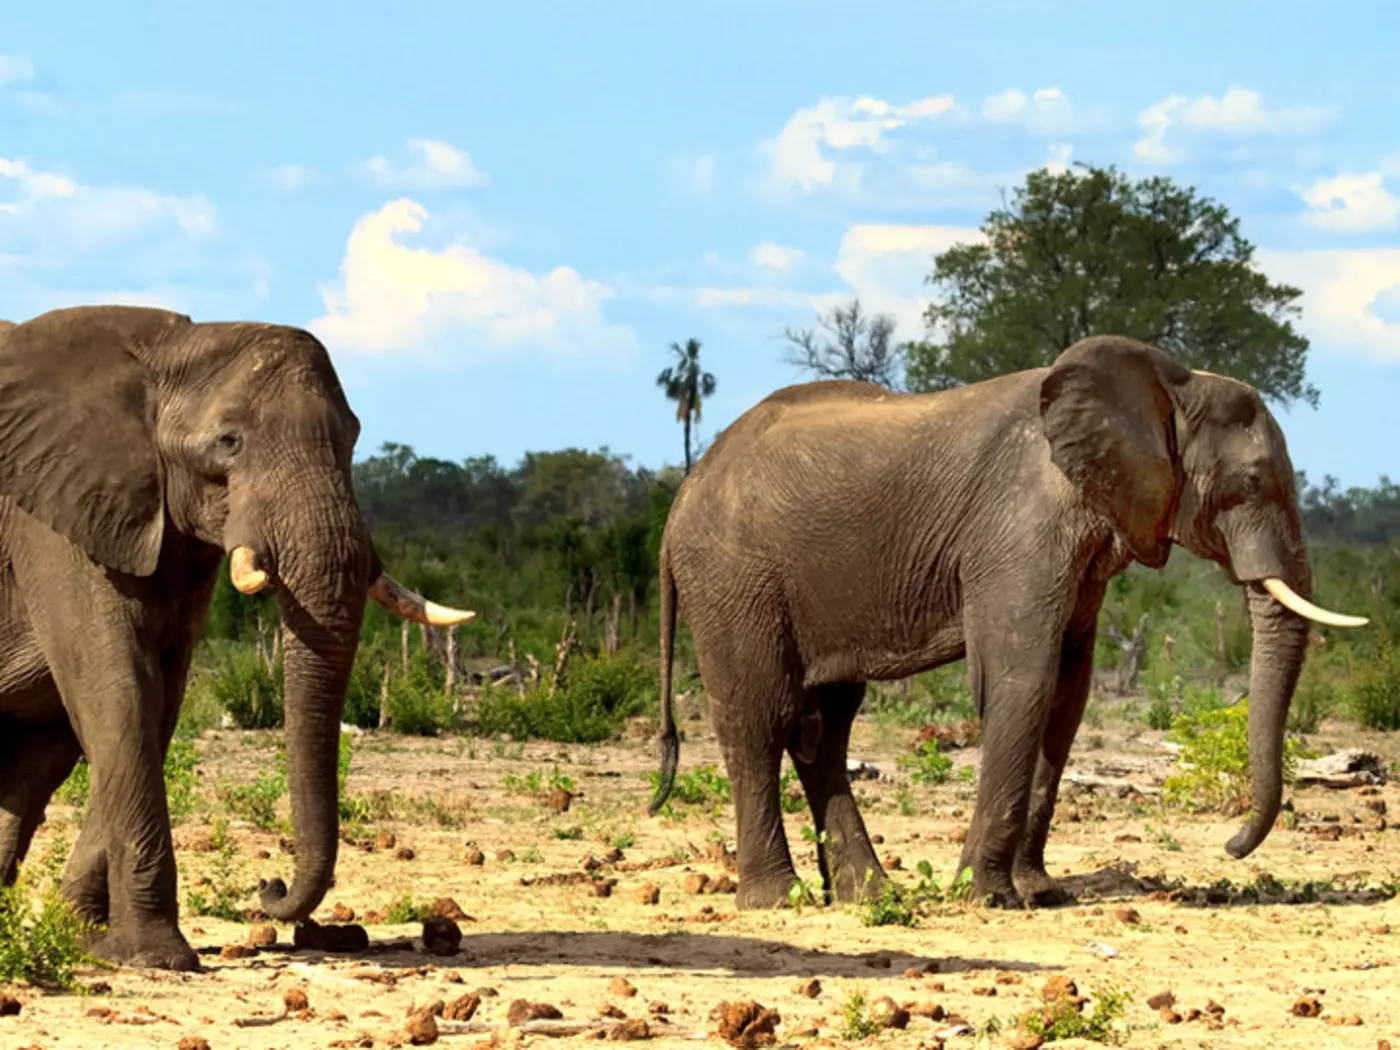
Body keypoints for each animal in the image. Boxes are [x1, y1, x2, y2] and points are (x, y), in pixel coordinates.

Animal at [0, 304, 474, 970]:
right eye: (229, 442)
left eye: (354, 437)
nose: (269, 885)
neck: (170, 344)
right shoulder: (50, 519)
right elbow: (118, 693)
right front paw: (157, 958)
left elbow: (156, 703)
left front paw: (90, 942)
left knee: (37, 760)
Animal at [647, 335, 1368, 911]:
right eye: (1249, 485)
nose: (1230, 846)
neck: (1170, 381)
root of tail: (681, 497)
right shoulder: (1017, 527)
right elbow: (1023, 680)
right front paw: (989, 898)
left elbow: (1068, 695)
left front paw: (1042, 893)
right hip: (734, 579)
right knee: (760, 721)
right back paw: (779, 900)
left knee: (825, 728)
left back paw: (869, 896)